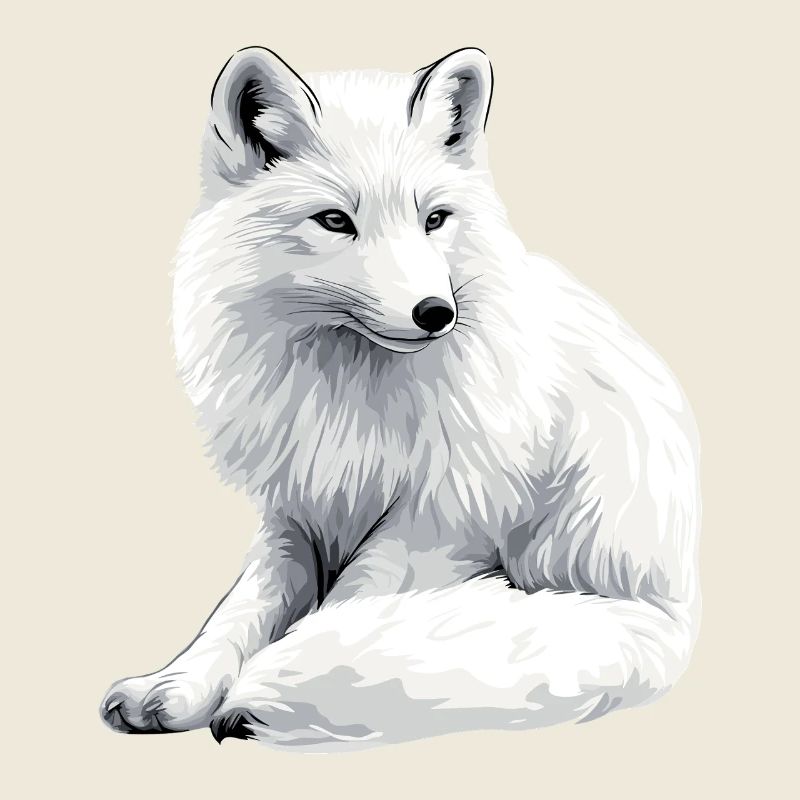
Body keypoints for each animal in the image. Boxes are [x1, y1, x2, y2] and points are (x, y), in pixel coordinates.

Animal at [100, 46, 701, 750]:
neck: (349, 392)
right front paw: (176, 686)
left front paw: (276, 681)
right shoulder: (295, 510)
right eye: (335, 221)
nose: (436, 312)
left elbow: (346, 611)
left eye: (434, 219)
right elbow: (239, 611)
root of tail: (672, 611)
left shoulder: (440, 518)